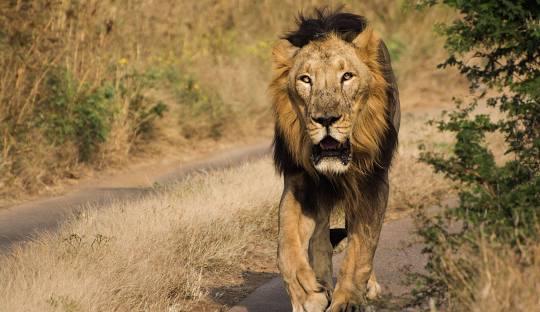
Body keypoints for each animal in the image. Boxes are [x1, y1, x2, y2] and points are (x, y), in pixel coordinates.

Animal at [270, 8, 400, 310]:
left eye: (347, 76)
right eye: (306, 79)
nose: (326, 119)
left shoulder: (372, 182)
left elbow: (361, 248)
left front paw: (349, 299)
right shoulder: (300, 181)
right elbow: (286, 246)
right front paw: (307, 294)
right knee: (319, 238)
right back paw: (321, 279)